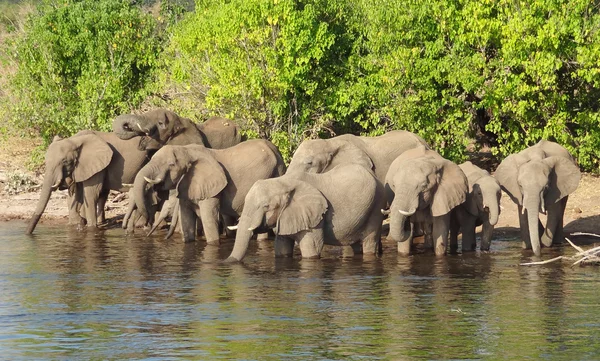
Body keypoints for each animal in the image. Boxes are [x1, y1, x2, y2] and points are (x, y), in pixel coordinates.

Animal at [133, 139, 286, 243]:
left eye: (171, 164)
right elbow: (187, 222)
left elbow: (209, 220)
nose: (145, 224)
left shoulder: (212, 189)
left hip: (276, 172)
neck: (186, 151)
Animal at [225, 164, 384, 262]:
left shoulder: (314, 217)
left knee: (369, 241)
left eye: (266, 206)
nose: (224, 262)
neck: (282, 182)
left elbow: (312, 248)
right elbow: (282, 248)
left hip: (376, 207)